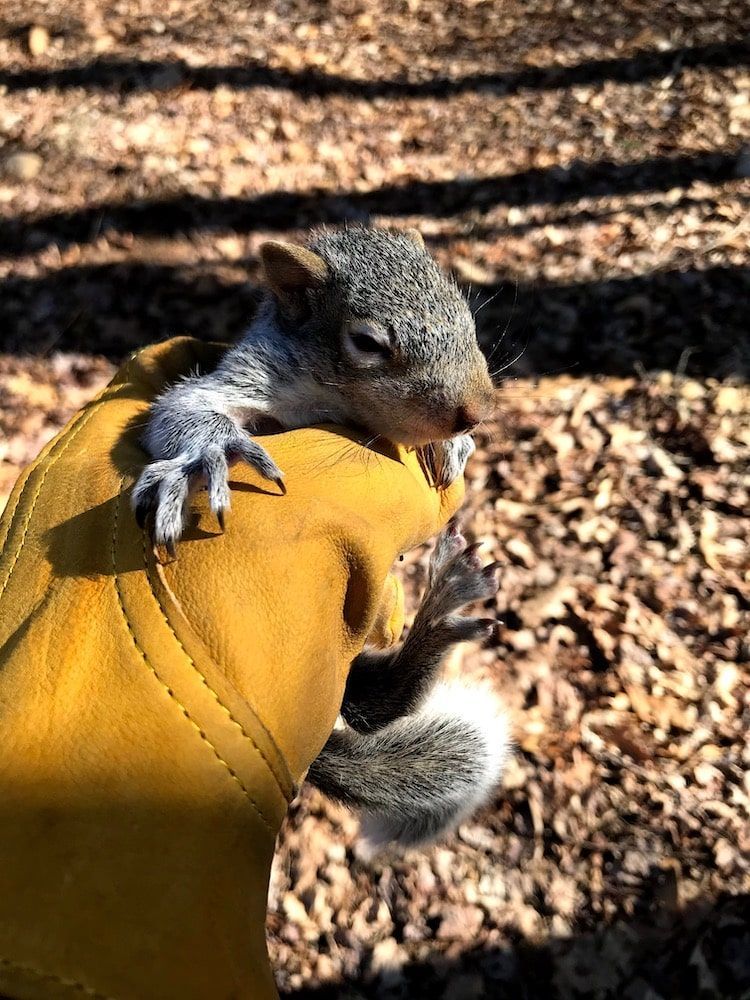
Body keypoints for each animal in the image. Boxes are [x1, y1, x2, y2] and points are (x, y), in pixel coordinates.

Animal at [132, 226, 509, 848]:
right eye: (367, 342)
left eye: (466, 313)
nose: (478, 411)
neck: (338, 403)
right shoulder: (246, 378)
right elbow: (185, 408)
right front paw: (209, 453)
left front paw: (453, 448)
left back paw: (441, 610)